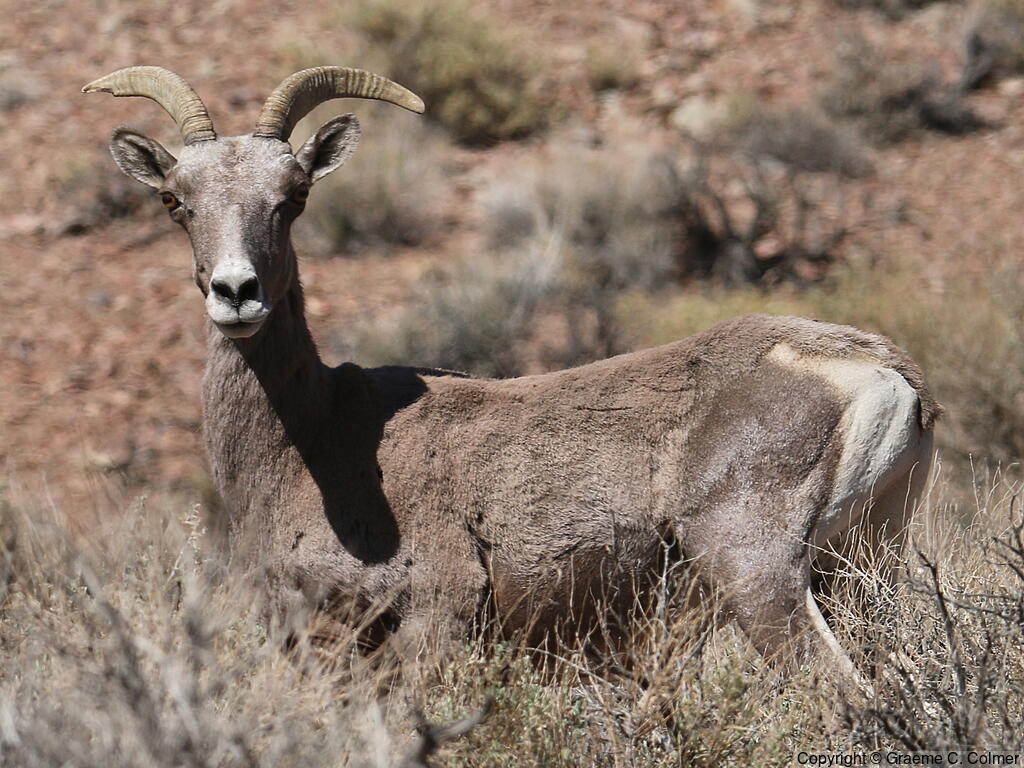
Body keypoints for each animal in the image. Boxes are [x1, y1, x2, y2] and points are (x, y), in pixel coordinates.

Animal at [84, 65, 940, 679]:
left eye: (292, 199)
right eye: (177, 203)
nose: (237, 293)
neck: (312, 440)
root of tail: (879, 373)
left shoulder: (433, 623)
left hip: (758, 574)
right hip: (863, 570)